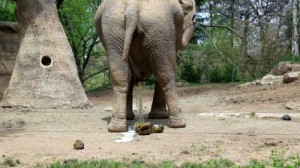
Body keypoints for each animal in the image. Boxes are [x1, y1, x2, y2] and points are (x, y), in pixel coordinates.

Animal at [95, 0, 196, 132]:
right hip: (160, 29)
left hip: (114, 30)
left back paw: (116, 128)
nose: (194, 19)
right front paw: (159, 116)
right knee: (165, 75)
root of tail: (133, 6)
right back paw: (179, 124)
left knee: (121, 76)